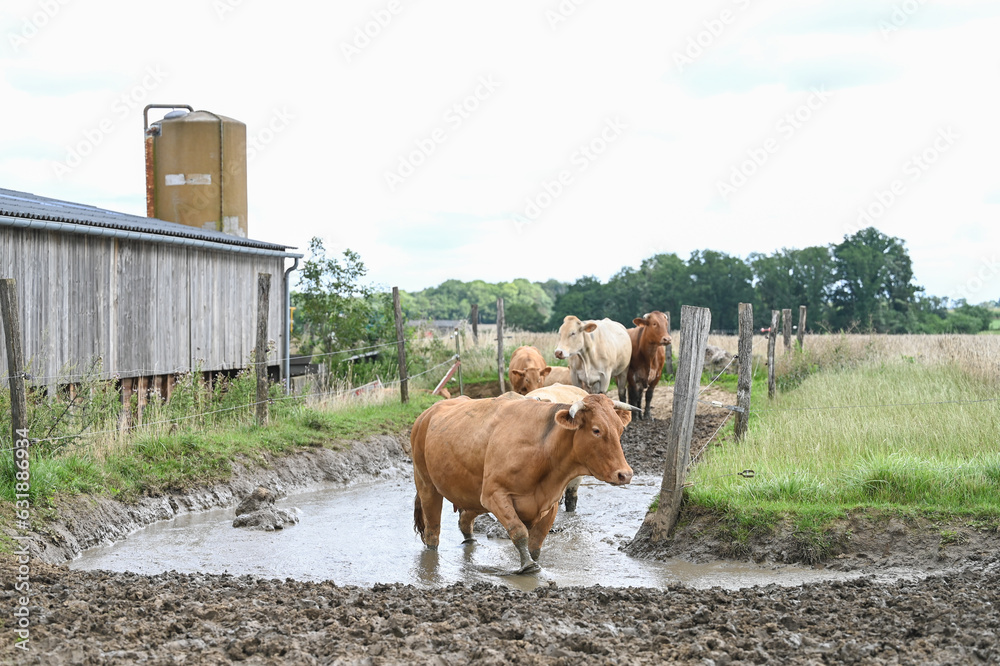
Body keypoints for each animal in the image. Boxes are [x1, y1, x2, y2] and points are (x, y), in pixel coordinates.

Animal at [412, 392, 632, 572]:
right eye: (596, 430)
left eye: (620, 429)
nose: (625, 474)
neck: (542, 447)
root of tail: (425, 415)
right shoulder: (494, 495)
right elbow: (519, 533)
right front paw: (528, 566)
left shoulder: (549, 503)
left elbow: (536, 543)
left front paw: (532, 560)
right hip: (427, 485)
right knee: (432, 529)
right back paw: (432, 552)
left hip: (471, 494)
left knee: (465, 518)